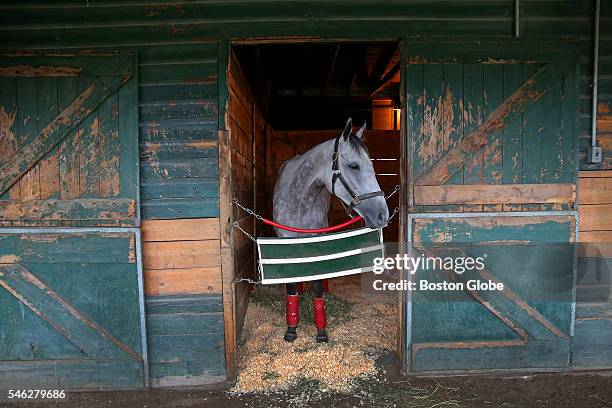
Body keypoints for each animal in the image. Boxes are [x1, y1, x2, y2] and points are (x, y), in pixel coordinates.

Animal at [272, 117, 388, 342]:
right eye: (354, 166)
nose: (382, 215)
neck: (299, 201)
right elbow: (291, 287)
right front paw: (291, 330)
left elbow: (317, 288)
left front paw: (321, 332)